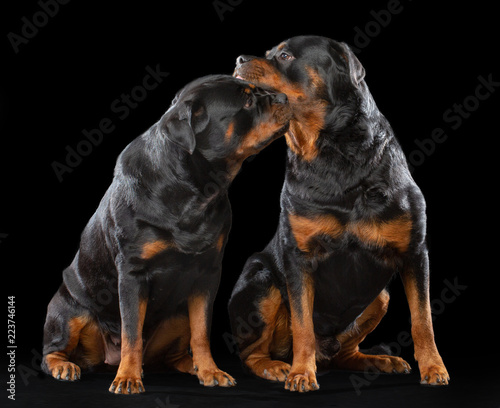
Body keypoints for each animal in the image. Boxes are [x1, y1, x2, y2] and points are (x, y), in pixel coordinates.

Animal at [43, 75, 292, 394]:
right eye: (247, 101)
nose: (285, 98)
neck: (194, 189)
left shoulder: (208, 273)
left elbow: (201, 331)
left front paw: (210, 370)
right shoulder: (132, 273)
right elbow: (131, 332)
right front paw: (127, 377)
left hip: (178, 315)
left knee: (172, 355)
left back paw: (191, 366)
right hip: (68, 310)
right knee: (54, 349)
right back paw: (65, 366)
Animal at [230, 35, 450, 392]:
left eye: (285, 55)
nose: (238, 59)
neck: (332, 153)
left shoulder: (415, 253)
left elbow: (423, 319)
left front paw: (433, 367)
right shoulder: (298, 258)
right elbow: (302, 324)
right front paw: (301, 373)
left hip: (380, 297)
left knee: (345, 352)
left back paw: (378, 360)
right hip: (261, 280)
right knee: (251, 352)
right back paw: (275, 366)